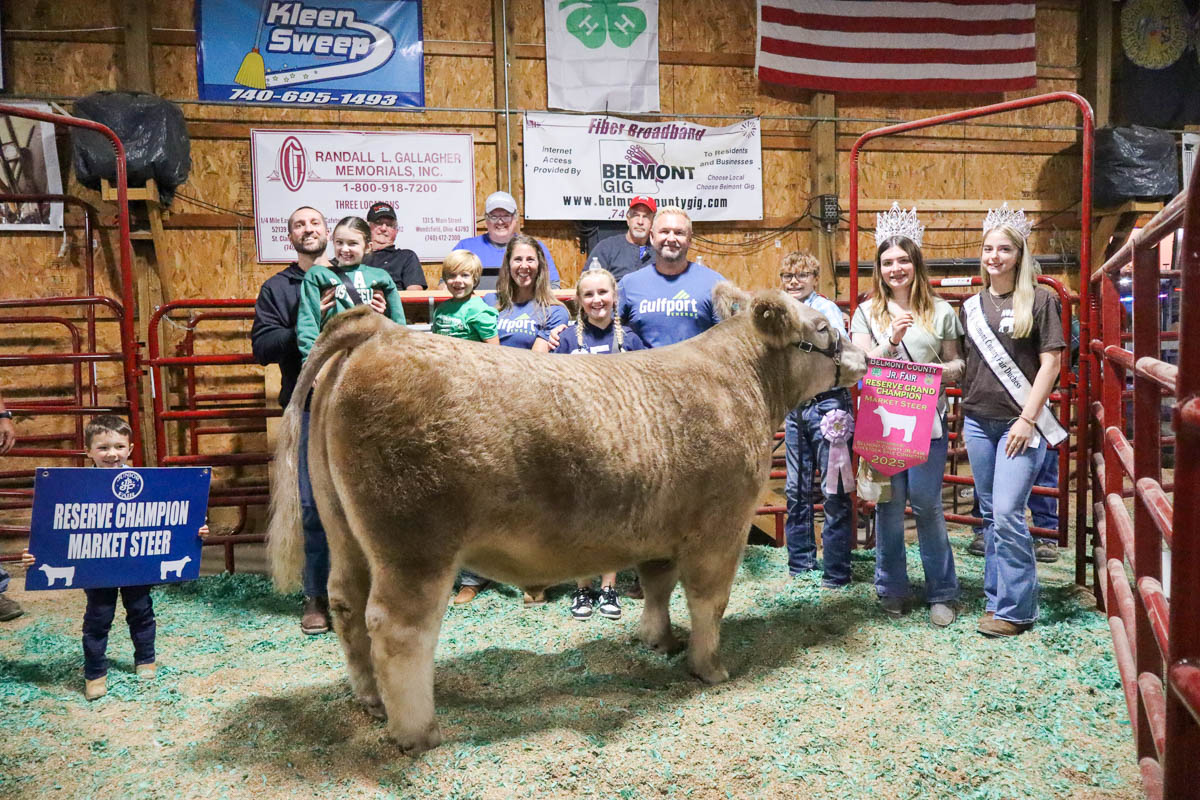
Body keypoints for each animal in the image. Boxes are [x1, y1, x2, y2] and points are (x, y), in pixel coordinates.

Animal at [266, 284, 866, 753]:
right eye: (820, 325)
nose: (861, 357)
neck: (742, 382)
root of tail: (383, 332)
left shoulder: (660, 527)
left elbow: (657, 585)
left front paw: (657, 640)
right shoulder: (721, 525)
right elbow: (708, 600)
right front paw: (709, 667)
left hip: (346, 532)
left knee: (347, 604)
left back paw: (370, 700)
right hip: (414, 544)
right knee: (397, 628)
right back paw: (418, 732)